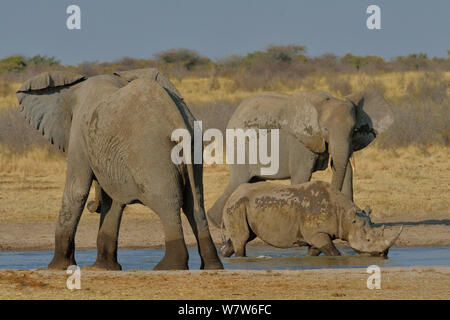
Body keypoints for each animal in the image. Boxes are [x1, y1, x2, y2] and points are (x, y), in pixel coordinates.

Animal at [17, 67, 223, 270]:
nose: (93, 206)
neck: (76, 87)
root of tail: (176, 118)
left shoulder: (78, 134)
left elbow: (78, 191)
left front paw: (56, 268)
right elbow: (113, 200)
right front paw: (103, 268)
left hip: (150, 150)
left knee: (168, 203)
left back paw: (169, 266)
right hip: (194, 145)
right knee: (194, 203)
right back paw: (212, 266)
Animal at [206, 89, 392, 228]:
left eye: (354, 130)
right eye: (325, 129)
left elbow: (345, 171)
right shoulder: (299, 141)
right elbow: (302, 176)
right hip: (241, 147)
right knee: (238, 181)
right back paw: (217, 222)